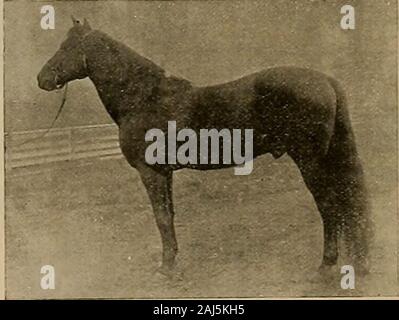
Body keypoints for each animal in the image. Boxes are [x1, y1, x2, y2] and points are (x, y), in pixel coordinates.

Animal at [38, 18, 376, 278]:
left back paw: (325, 266)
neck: (144, 97)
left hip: (310, 161)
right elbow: (169, 216)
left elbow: (161, 218)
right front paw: (172, 260)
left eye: (66, 48)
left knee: (329, 206)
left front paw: (165, 268)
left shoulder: (150, 172)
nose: (42, 78)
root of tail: (326, 80)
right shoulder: (164, 172)